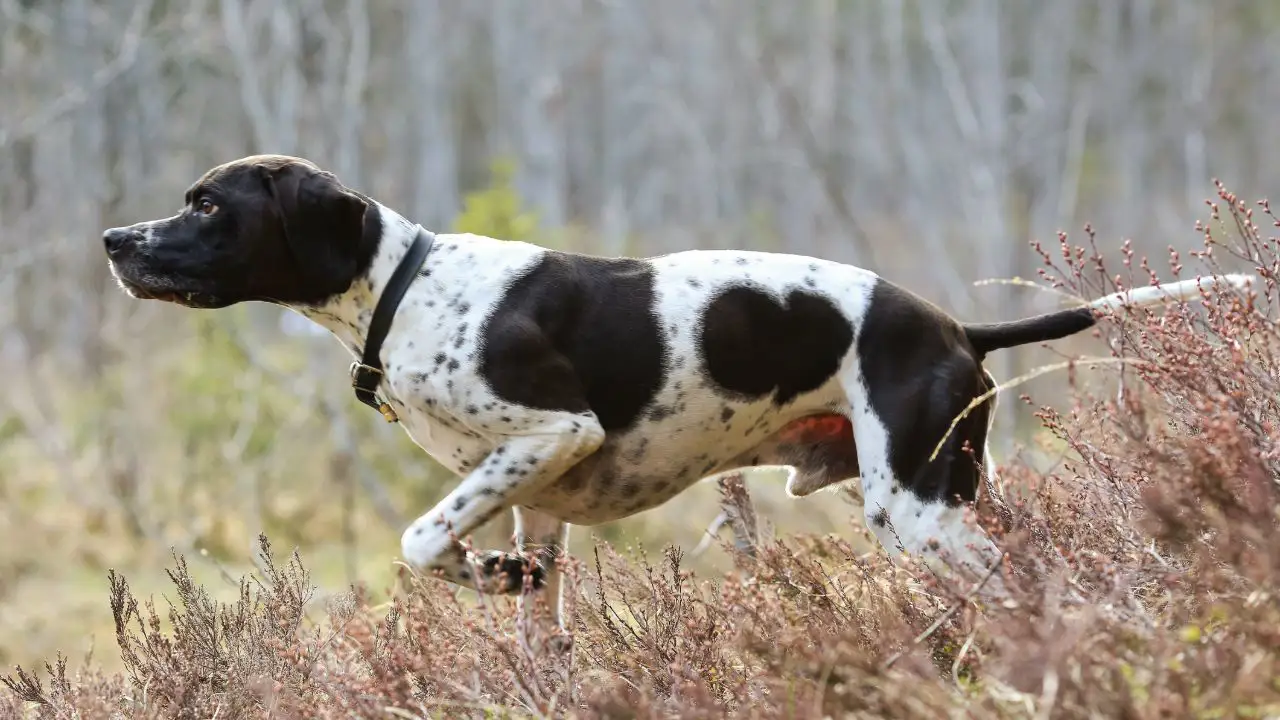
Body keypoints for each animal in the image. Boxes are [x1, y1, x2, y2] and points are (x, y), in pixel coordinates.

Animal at [99, 155, 1249, 622]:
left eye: (207, 204)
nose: (114, 238)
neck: (406, 287)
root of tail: (952, 326)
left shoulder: (554, 431)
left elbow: (420, 538)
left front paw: (468, 570)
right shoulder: (535, 504)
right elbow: (527, 614)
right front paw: (497, 587)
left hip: (918, 512)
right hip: (954, 491)